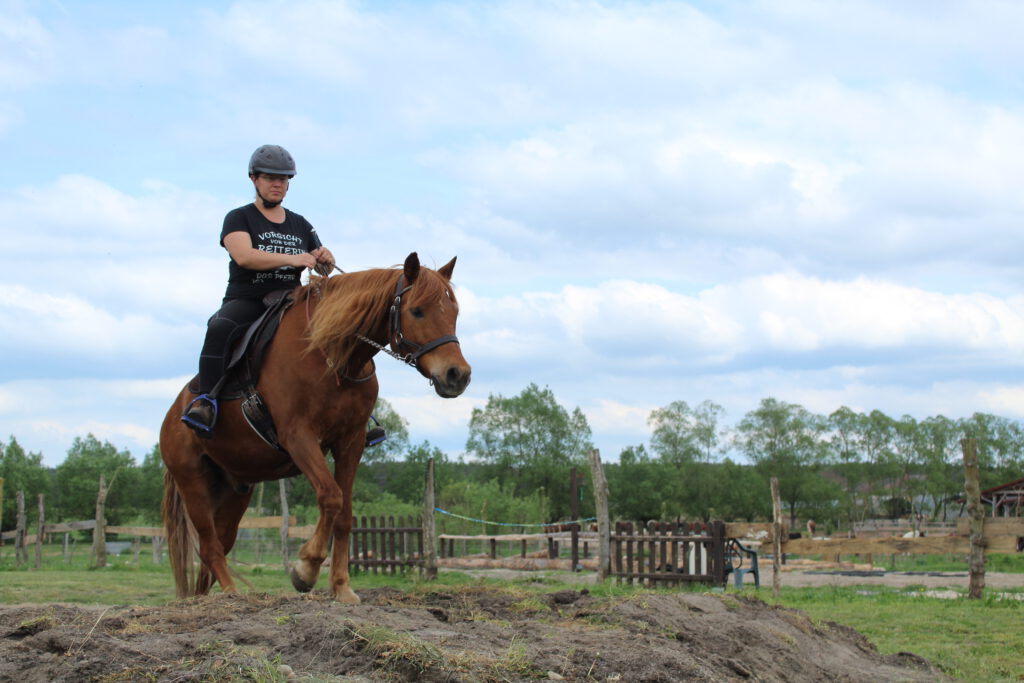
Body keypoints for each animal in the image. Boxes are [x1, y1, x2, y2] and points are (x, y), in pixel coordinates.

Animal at [158, 252, 471, 602]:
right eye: (417, 310)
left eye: (454, 312)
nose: (457, 375)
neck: (332, 358)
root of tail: (173, 415)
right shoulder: (300, 437)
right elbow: (331, 496)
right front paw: (306, 568)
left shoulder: (351, 442)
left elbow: (345, 513)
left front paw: (342, 587)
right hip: (192, 483)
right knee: (210, 546)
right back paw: (231, 590)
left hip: (235, 490)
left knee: (218, 546)